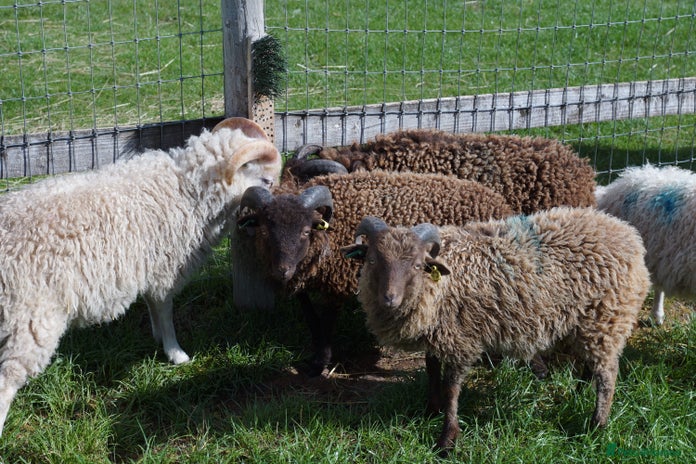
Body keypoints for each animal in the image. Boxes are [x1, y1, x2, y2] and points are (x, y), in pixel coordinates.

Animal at [0, 117, 282, 436]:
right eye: (262, 178)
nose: (274, 199)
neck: (186, 189)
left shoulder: (149, 269)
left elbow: (152, 307)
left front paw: (158, 338)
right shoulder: (164, 271)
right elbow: (165, 312)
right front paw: (176, 353)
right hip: (31, 319)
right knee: (7, 382)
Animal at [232, 170, 514, 375]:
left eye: (305, 231)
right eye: (265, 230)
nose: (282, 271)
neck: (328, 233)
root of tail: (502, 204)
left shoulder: (335, 283)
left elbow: (328, 321)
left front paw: (321, 362)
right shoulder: (304, 280)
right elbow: (311, 318)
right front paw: (315, 356)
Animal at [341, 208, 650, 455]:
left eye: (417, 265)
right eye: (372, 261)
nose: (389, 299)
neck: (439, 284)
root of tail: (629, 235)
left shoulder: (461, 338)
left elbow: (452, 388)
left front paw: (447, 440)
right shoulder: (439, 334)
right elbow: (431, 369)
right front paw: (431, 410)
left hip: (607, 317)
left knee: (607, 374)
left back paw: (597, 425)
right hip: (585, 322)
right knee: (591, 365)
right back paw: (577, 394)